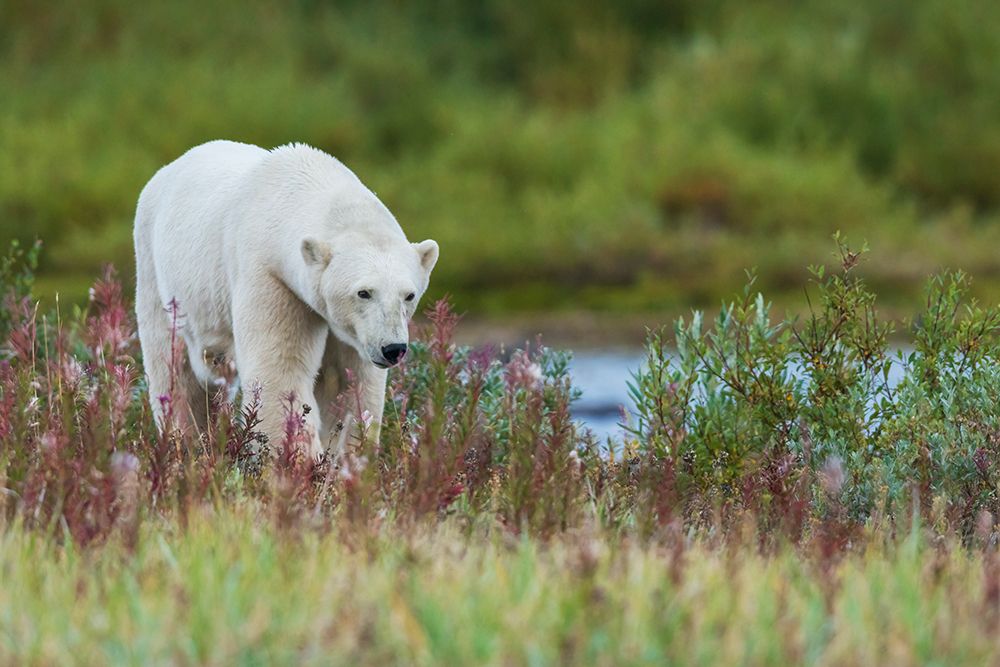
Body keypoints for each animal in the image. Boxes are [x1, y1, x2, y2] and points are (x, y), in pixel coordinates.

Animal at [133, 140, 439, 460]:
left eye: (409, 295)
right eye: (363, 292)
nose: (393, 349)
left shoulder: (347, 328)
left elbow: (346, 381)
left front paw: (348, 457)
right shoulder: (271, 276)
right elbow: (281, 369)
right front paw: (298, 459)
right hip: (158, 273)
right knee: (174, 368)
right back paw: (186, 441)